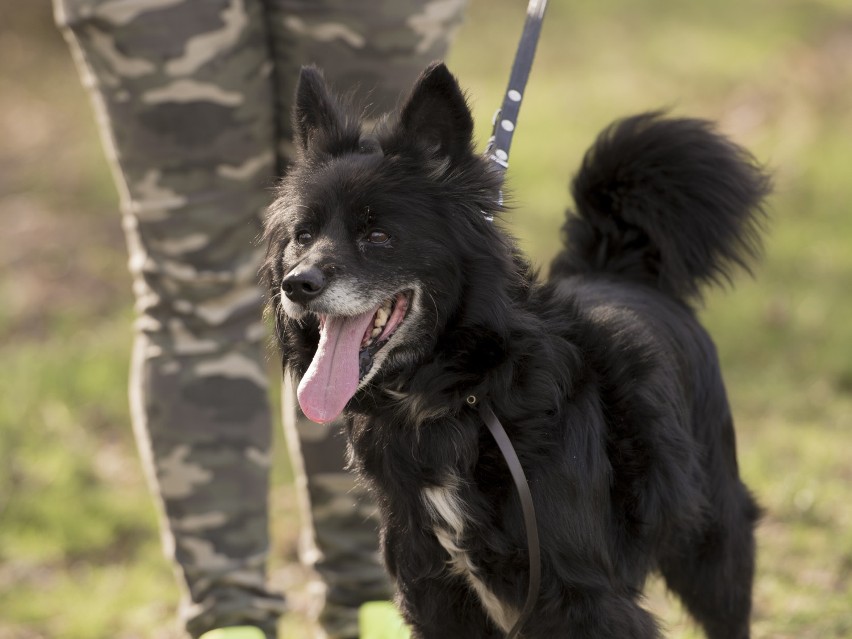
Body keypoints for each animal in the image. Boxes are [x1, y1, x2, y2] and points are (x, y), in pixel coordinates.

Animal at [262, 61, 768, 639]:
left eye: (379, 235)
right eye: (302, 235)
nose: (298, 285)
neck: (459, 395)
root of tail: (621, 268)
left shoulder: (588, 599)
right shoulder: (435, 593)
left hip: (713, 545)